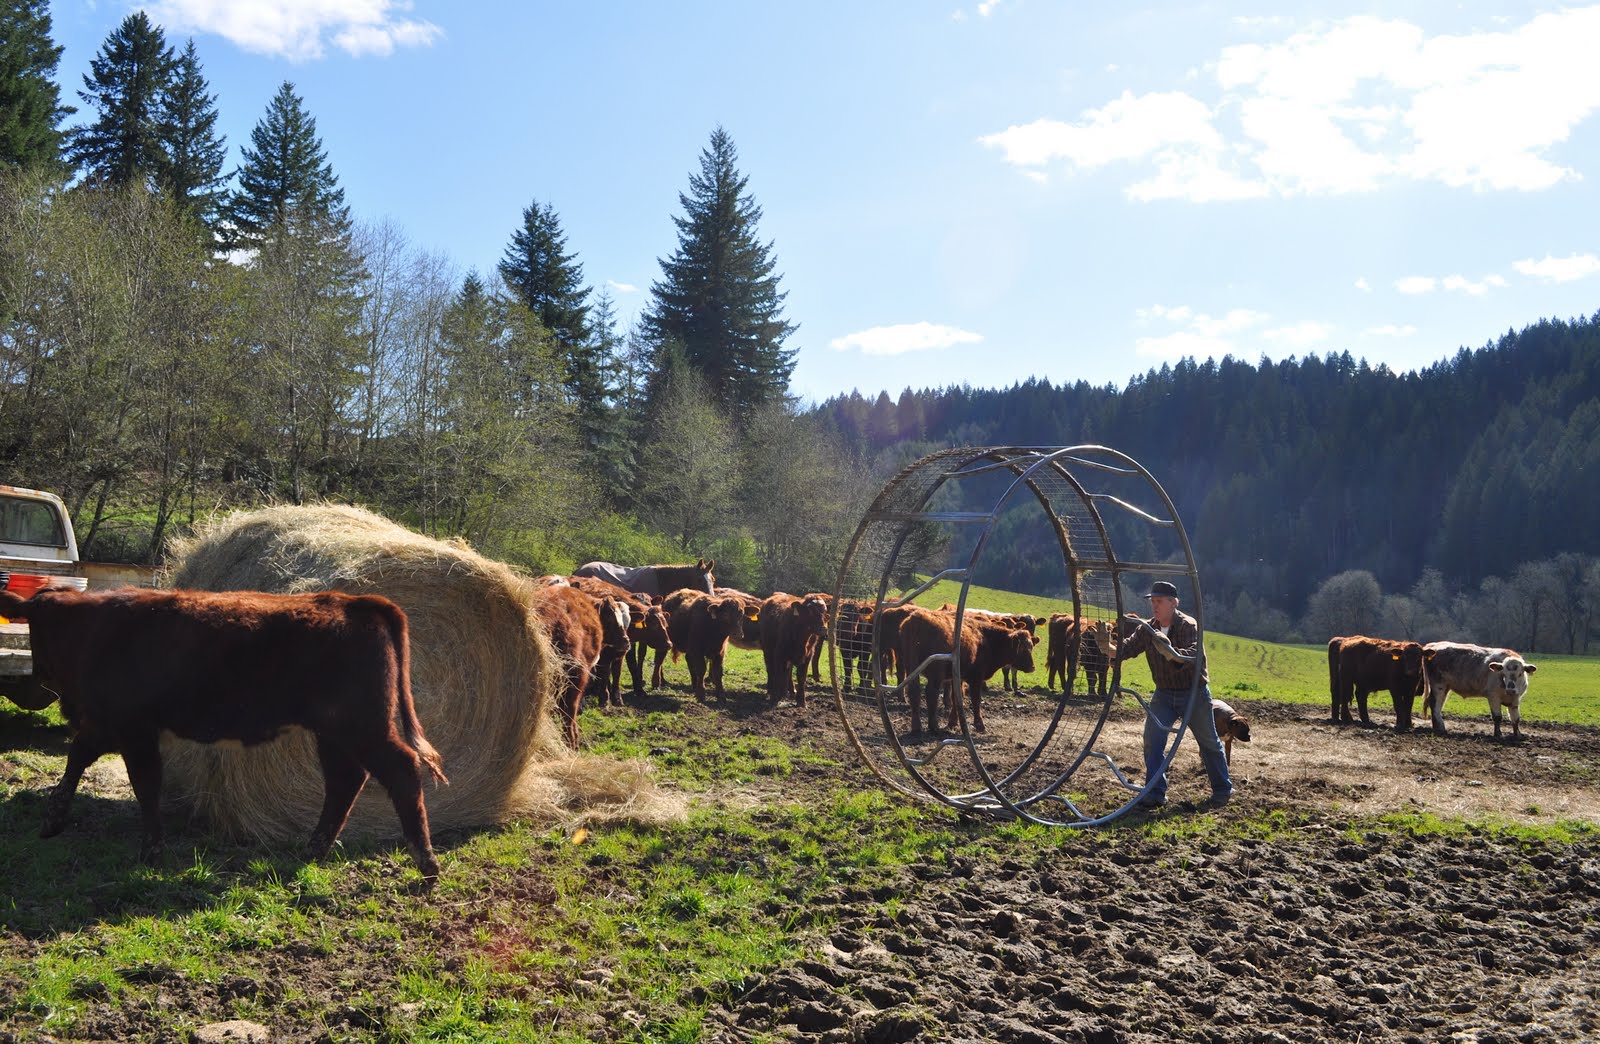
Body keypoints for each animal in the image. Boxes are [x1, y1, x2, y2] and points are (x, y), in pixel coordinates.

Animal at [0, 587, 447, 880]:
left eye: (34, 629)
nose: (39, 675)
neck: (96, 628)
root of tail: (352, 602)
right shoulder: (108, 725)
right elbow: (79, 757)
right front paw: (53, 819)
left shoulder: (130, 727)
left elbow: (143, 784)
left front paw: (151, 850)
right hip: (335, 732)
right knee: (345, 781)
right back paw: (314, 849)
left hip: (363, 726)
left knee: (400, 770)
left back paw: (425, 860)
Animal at [897, 606, 1037, 734]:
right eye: (1022, 648)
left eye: (1031, 646)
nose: (1032, 667)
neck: (985, 638)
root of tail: (917, 618)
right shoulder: (976, 678)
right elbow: (975, 700)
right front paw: (979, 724)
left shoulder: (958, 678)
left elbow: (957, 698)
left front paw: (953, 722)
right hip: (935, 673)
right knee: (931, 693)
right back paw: (933, 726)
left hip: (911, 667)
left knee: (914, 691)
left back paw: (916, 727)